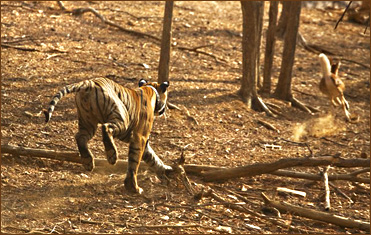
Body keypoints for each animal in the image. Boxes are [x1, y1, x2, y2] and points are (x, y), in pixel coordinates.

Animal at [43, 78, 173, 194]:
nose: (165, 109)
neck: (150, 90)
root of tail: (88, 83)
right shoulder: (140, 137)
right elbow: (135, 161)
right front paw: (133, 187)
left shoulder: (134, 137)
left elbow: (152, 156)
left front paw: (165, 169)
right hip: (122, 117)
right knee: (106, 128)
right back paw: (112, 155)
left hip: (87, 122)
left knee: (80, 137)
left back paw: (88, 161)